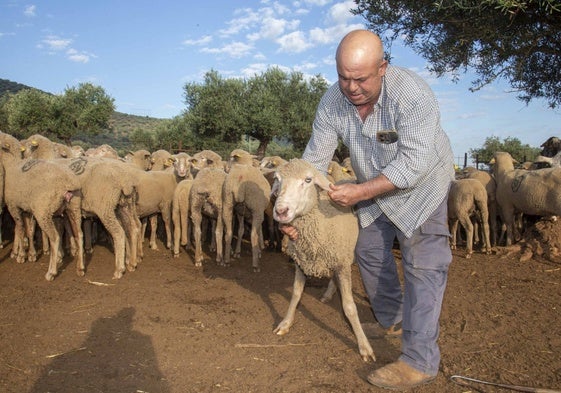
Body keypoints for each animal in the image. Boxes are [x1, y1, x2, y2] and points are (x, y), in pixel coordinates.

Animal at [0, 133, 84, 280]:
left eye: (28, 145)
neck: (10, 164)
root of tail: (68, 182)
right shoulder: (27, 209)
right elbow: (29, 230)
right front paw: (31, 254)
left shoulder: (13, 206)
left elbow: (20, 229)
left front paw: (20, 255)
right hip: (73, 208)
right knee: (79, 234)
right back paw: (80, 268)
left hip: (43, 212)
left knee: (55, 237)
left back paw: (51, 272)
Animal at [270, 158, 374, 362]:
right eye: (277, 179)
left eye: (308, 180)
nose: (281, 211)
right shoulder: (301, 262)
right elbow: (296, 293)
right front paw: (286, 323)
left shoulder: (342, 263)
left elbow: (349, 307)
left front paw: (364, 346)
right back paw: (328, 293)